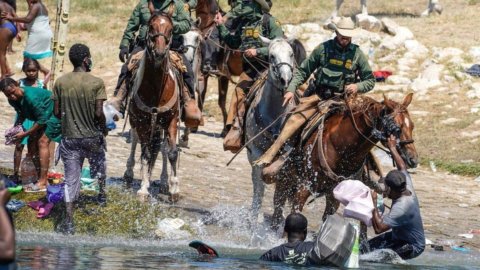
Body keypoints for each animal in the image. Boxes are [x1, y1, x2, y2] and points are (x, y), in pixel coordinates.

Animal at [124, 12, 181, 202]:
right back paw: (129, 173)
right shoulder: (142, 122)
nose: (160, 52)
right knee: (135, 141)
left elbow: (171, 152)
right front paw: (143, 188)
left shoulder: (171, 120)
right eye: (151, 27)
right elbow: (146, 154)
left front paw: (174, 189)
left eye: (171, 28)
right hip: (136, 121)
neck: (156, 90)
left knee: (162, 148)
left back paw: (163, 182)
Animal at [272, 93, 418, 228]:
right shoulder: (304, 187)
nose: (413, 159)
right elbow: (295, 214)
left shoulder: (333, 196)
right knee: (277, 208)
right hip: (284, 178)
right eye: (397, 128)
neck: (341, 148)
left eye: (412, 126)